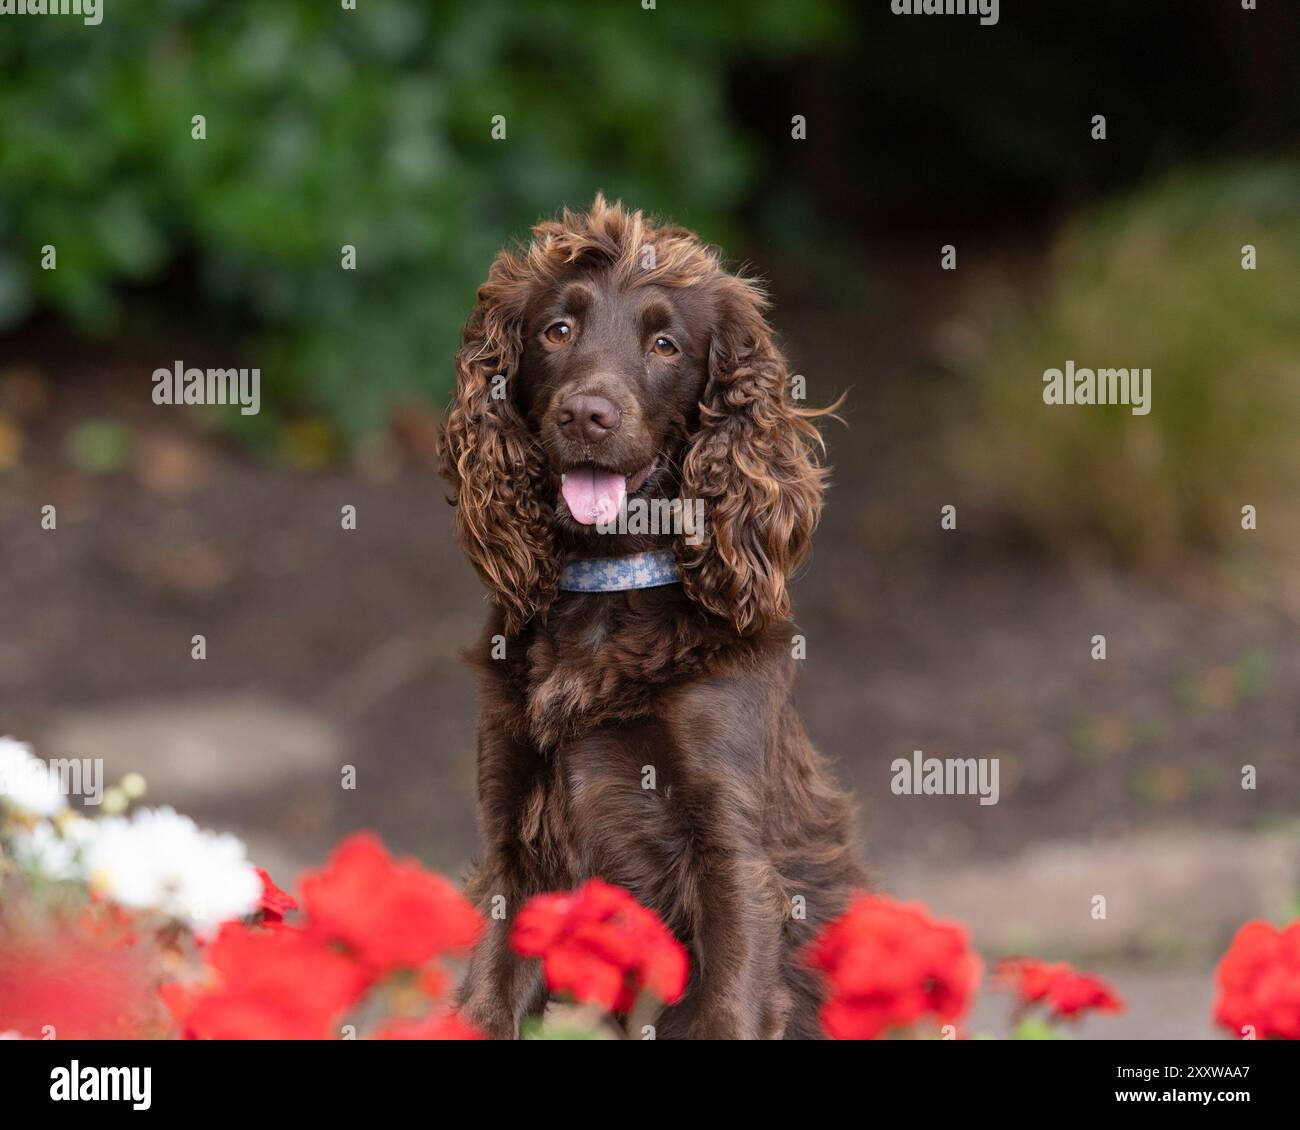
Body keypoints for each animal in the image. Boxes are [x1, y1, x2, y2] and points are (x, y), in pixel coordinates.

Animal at [439, 196, 863, 1040]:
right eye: (556, 330)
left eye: (665, 345)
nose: (586, 414)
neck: (607, 595)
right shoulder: (513, 851)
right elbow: (490, 999)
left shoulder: (732, 856)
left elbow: (727, 1007)